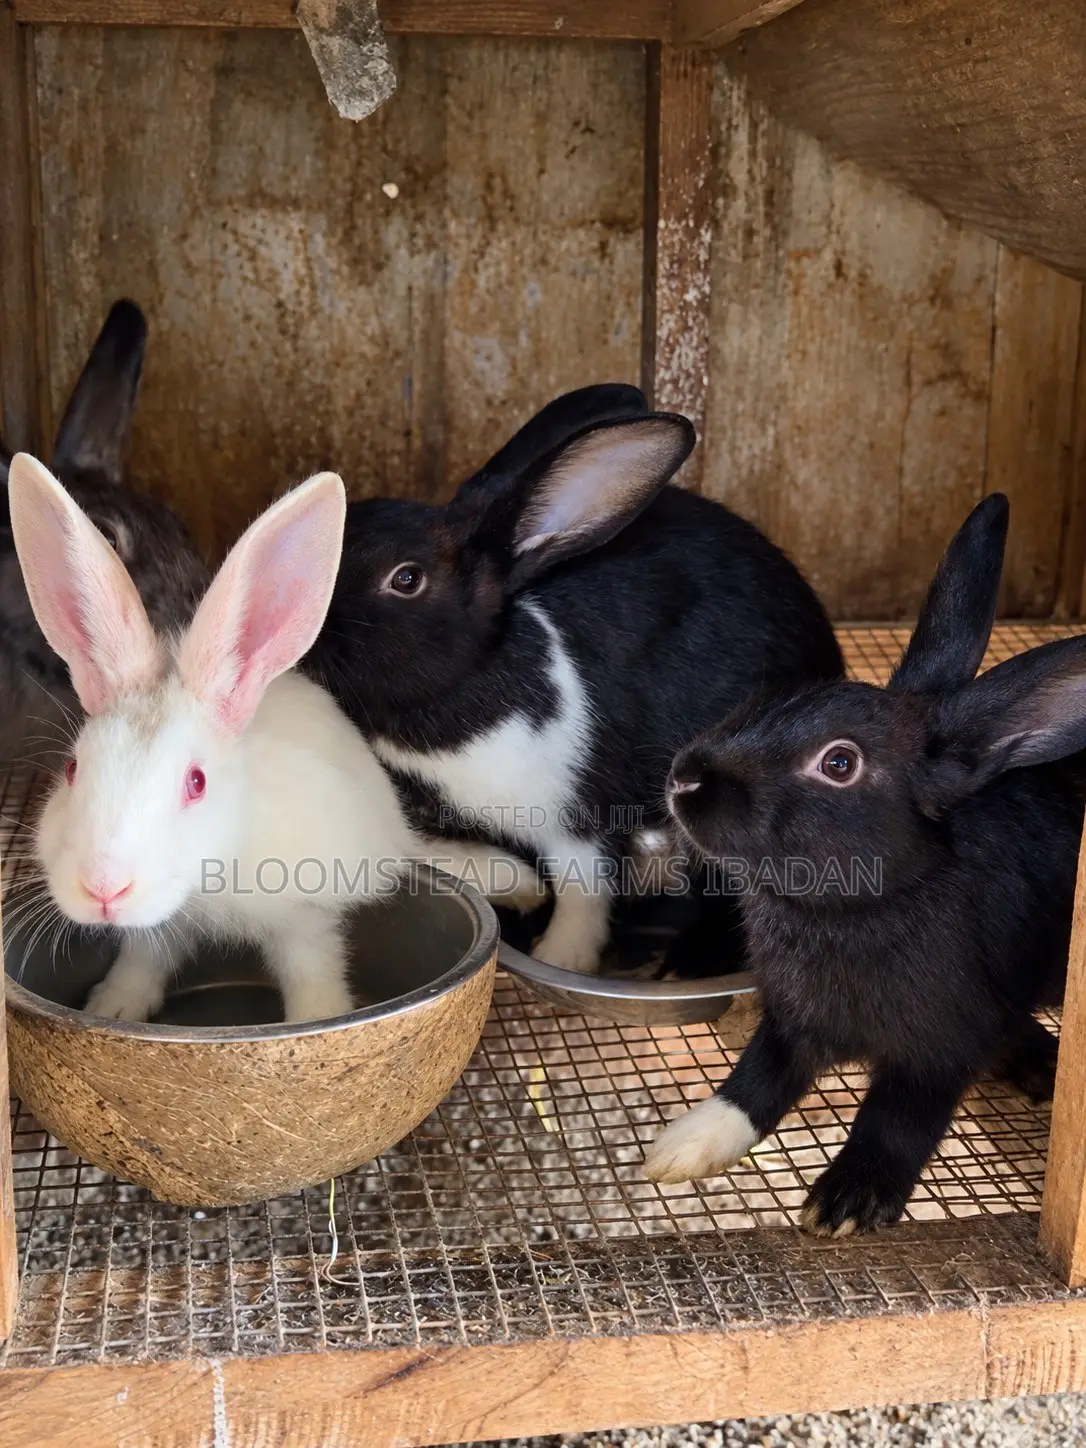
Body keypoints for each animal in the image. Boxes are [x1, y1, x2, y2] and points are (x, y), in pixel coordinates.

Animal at [8, 454, 545, 1025]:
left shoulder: (306, 920)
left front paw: (317, 1019)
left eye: (196, 782)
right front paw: (112, 1008)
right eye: (73, 770)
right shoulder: (158, 931)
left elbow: (314, 975)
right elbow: (141, 961)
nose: (103, 888)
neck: (209, 882)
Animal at [648, 490, 1086, 1237]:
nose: (685, 779)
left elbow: (896, 1121)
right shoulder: (789, 1023)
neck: (860, 903)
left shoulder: (939, 1047)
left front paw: (844, 1203)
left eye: (839, 763)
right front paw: (681, 1148)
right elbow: (755, 1083)